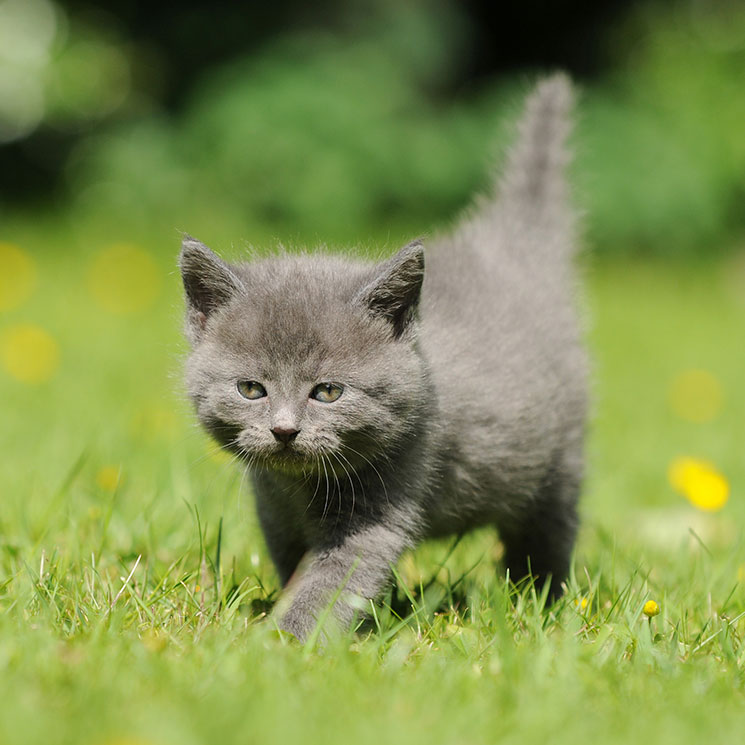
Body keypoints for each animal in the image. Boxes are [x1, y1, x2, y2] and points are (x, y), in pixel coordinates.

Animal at [179, 77, 588, 644]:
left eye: (329, 391)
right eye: (251, 389)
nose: (284, 430)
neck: (301, 487)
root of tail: (507, 249)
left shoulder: (383, 503)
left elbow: (334, 581)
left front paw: (286, 642)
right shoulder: (273, 508)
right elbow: (294, 565)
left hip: (559, 461)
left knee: (549, 531)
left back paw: (543, 602)